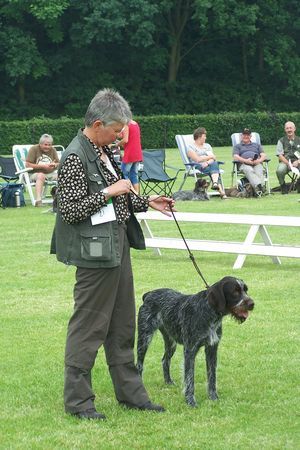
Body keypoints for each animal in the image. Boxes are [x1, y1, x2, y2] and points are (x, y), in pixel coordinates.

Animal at [137, 276, 254, 406]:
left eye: (245, 290)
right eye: (235, 292)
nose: (252, 304)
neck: (209, 312)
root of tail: (148, 294)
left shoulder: (212, 349)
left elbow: (212, 377)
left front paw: (213, 398)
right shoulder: (190, 350)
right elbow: (189, 378)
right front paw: (190, 401)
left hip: (171, 343)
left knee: (165, 360)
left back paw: (168, 382)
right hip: (144, 339)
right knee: (139, 365)